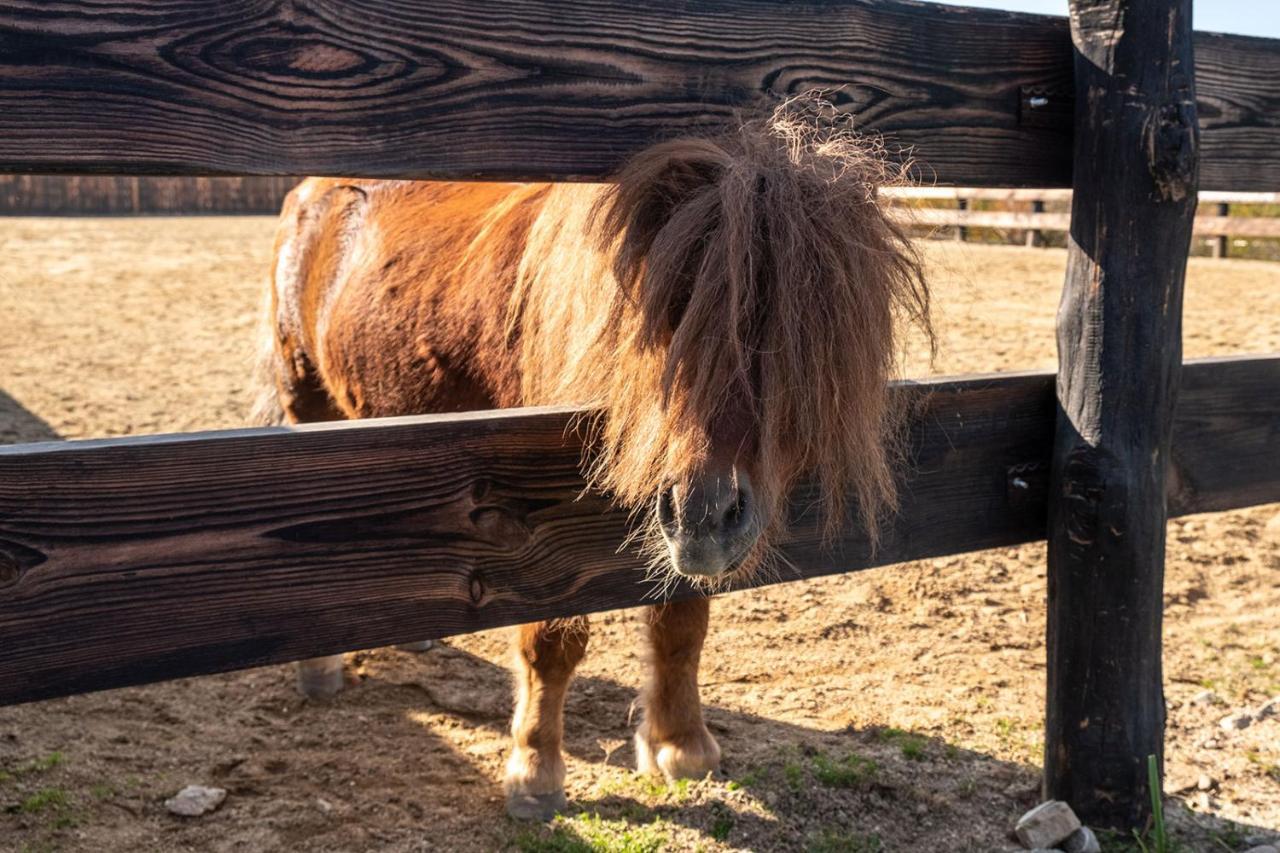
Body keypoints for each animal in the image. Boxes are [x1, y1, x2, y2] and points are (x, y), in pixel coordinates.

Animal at [254, 97, 931, 819]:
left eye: (794, 332)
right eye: (670, 315)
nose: (708, 512)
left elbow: (681, 622)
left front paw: (680, 744)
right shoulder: (537, 522)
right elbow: (552, 641)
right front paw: (535, 770)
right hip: (309, 404)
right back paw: (321, 669)